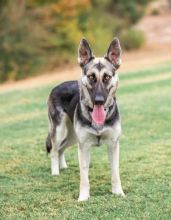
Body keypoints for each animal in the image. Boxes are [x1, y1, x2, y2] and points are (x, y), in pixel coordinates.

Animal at [46, 37, 125, 201]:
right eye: (91, 77)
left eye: (107, 77)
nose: (99, 101)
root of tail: (57, 86)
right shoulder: (84, 147)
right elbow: (84, 176)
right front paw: (83, 197)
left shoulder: (113, 145)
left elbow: (115, 173)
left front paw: (118, 192)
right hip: (59, 132)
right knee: (54, 150)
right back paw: (56, 172)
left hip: (72, 137)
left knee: (61, 149)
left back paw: (63, 167)